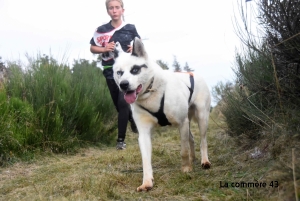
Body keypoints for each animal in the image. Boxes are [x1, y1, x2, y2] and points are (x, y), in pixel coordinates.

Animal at [112, 37, 211, 192]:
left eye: (135, 69)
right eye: (119, 72)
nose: (123, 84)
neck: (151, 92)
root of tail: (192, 73)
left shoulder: (182, 123)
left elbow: (183, 150)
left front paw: (186, 168)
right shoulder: (144, 132)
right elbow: (146, 159)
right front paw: (147, 181)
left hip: (202, 118)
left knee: (203, 140)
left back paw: (204, 160)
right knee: (192, 139)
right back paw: (193, 158)